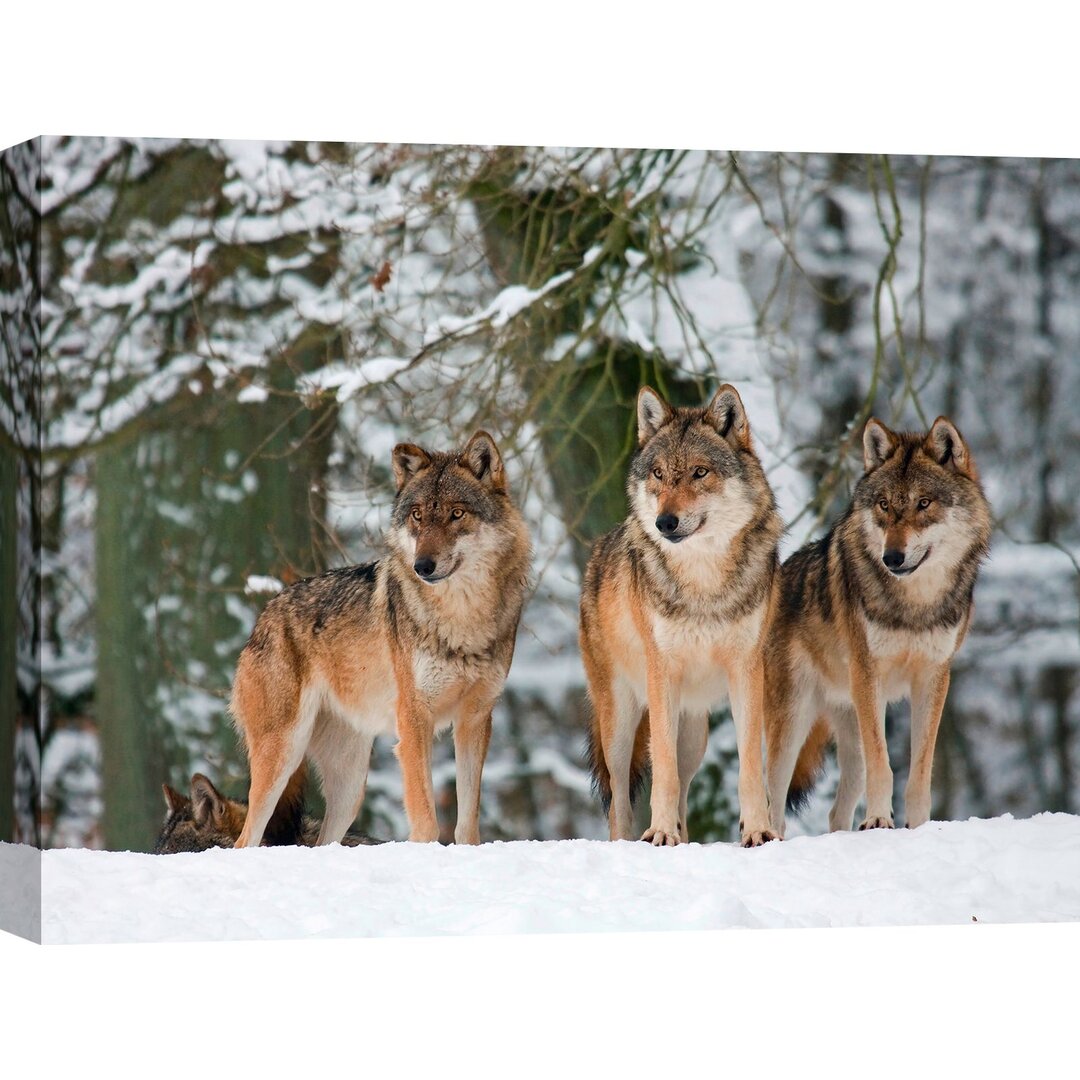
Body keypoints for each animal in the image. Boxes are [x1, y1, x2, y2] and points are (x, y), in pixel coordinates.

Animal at [231, 427, 531, 842]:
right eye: (417, 515)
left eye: (456, 513)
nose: (423, 566)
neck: (461, 618)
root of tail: (262, 618)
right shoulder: (414, 720)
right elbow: (425, 819)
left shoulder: (475, 719)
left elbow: (467, 820)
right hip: (282, 756)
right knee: (245, 840)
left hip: (351, 787)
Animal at [583, 384, 786, 846]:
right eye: (658, 474)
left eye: (699, 472)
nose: (665, 522)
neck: (703, 583)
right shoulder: (662, 673)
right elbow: (662, 773)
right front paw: (659, 832)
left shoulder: (747, 670)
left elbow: (750, 765)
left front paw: (757, 831)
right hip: (620, 726)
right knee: (620, 798)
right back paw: (631, 840)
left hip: (694, 735)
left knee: (684, 787)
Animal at [764, 414, 989, 833]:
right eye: (884, 504)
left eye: (923, 503)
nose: (892, 558)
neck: (914, 604)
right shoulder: (871, 676)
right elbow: (883, 765)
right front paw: (879, 820)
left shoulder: (933, 678)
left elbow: (919, 771)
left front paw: (918, 827)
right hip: (792, 723)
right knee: (774, 801)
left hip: (848, 729)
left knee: (837, 810)